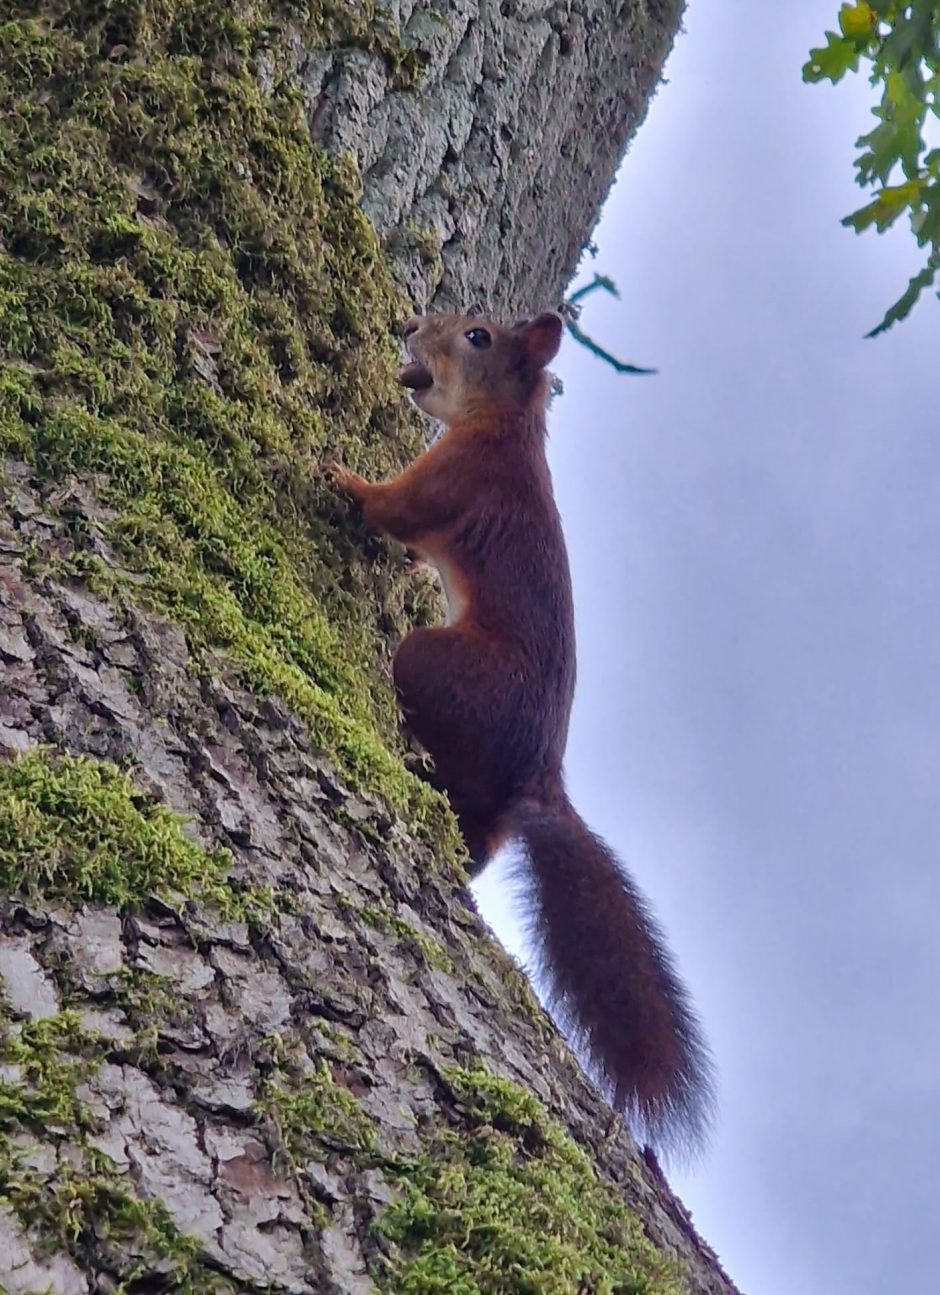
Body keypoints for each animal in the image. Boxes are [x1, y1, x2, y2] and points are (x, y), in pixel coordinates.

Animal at [330, 310, 714, 1155]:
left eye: (477, 335)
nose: (411, 322)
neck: (504, 429)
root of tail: (540, 778)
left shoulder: (457, 478)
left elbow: (392, 511)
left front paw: (343, 478)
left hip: (442, 665)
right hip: (486, 809)